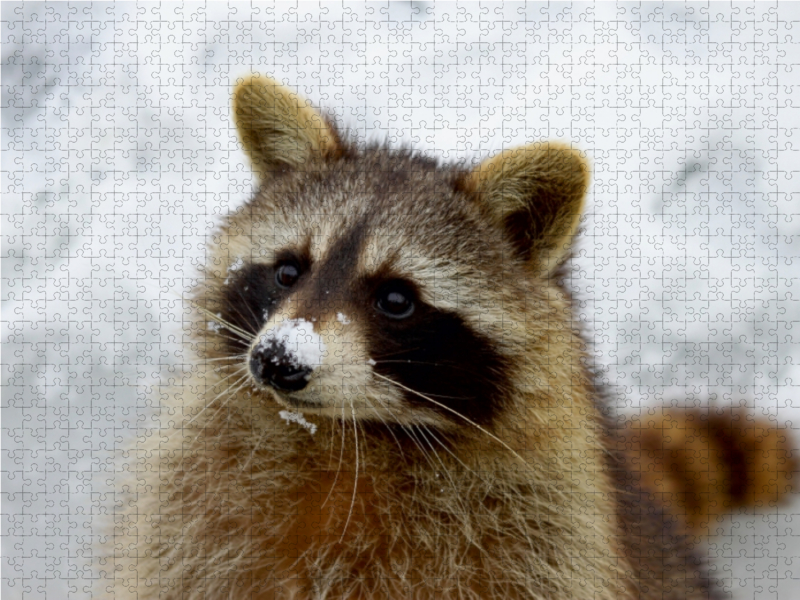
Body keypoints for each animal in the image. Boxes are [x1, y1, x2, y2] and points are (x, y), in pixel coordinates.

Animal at [112, 77, 792, 596]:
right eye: (287, 271)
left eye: (396, 299)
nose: (278, 360)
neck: (353, 436)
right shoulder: (194, 523)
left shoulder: (541, 543)